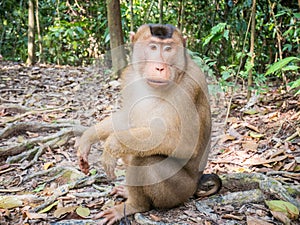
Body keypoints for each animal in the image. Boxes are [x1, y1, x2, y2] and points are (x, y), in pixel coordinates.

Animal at [78, 23, 220, 224]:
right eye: (153, 47)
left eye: (168, 49)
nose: (160, 67)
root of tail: (195, 185)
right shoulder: (130, 76)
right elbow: (129, 116)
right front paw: (88, 137)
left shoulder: (188, 86)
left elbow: (184, 144)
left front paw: (112, 145)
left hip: (180, 191)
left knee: (146, 160)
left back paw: (134, 205)